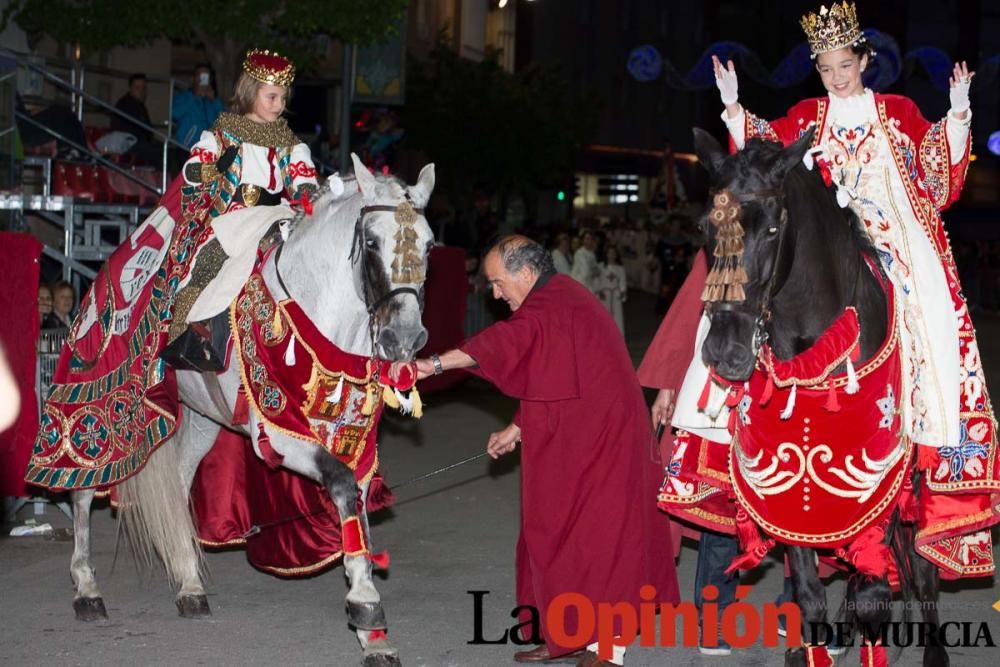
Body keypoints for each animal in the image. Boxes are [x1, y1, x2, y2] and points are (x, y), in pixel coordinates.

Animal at [66, 157, 434, 667]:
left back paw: (189, 584)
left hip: (200, 420)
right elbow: (341, 486)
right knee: (84, 487)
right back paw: (87, 590)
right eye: (373, 242)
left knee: (178, 484)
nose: (406, 338)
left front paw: (373, 633)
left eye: (429, 244)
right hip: (104, 407)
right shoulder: (280, 436)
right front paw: (367, 609)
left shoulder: (353, 439)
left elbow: (354, 507)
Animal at [692, 126, 948, 667]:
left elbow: (875, 591)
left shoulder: (879, 479)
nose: (725, 352)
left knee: (920, 568)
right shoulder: (791, 486)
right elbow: (811, 592)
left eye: (772, 230)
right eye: (706, 225)